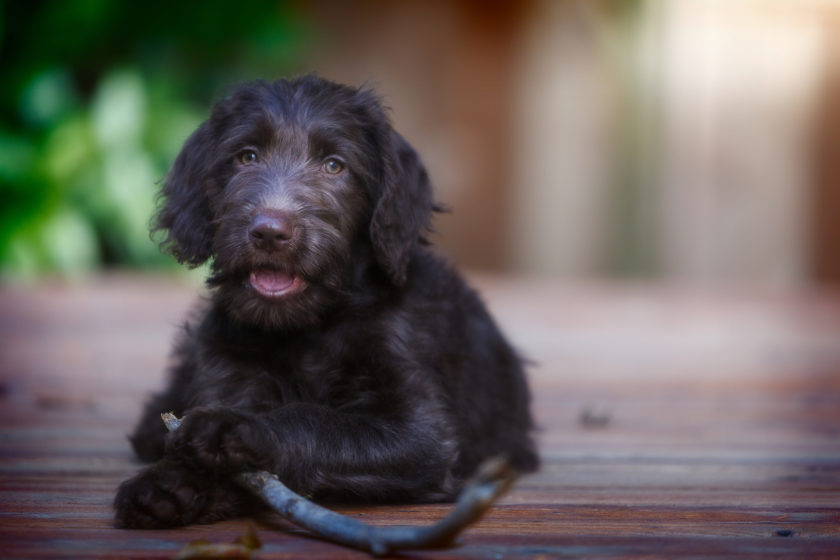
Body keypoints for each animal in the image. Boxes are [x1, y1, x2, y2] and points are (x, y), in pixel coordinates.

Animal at [115, 75, 540, 528]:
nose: (270, 232)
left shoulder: (421, 429)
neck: (307, 329)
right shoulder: (229, 368)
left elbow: (319, 423)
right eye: (246, 157)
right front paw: (166, 483)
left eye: (334, 165)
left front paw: (239, 429)